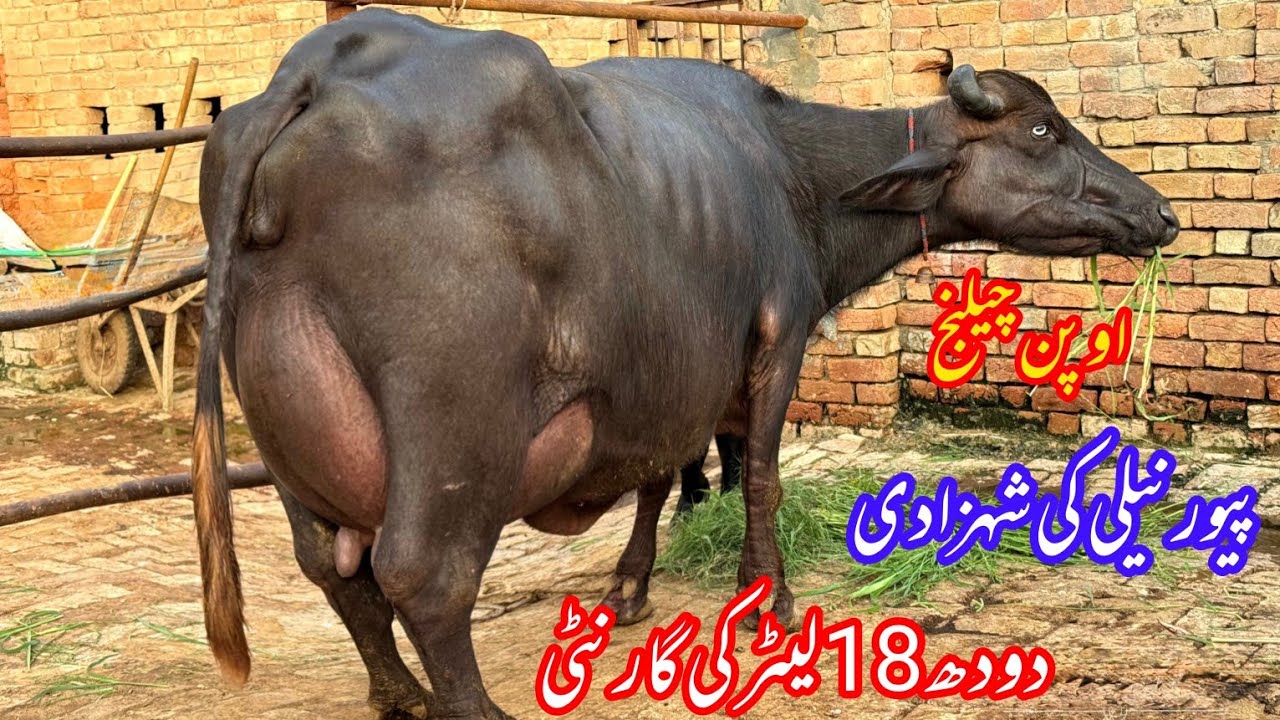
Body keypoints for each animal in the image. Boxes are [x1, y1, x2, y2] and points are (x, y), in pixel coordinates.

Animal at [191, 9, 1177, 719]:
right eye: (1044, 131)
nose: (1160, 212)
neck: (789, 172)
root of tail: (313, 73)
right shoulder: (776, 336)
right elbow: (761, 476)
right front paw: (768, 598)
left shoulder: (666, 377)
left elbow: (661, 474)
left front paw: (629, 586)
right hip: (453, 428)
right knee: (422, 577)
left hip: (285, 432)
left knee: (336, 570)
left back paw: (399, 697)